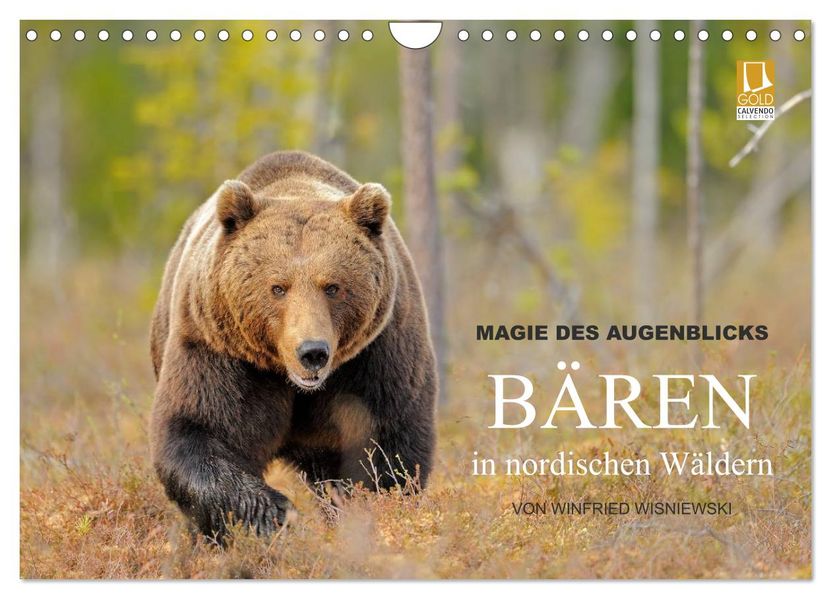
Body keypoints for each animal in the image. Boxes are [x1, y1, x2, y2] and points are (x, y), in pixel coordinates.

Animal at [149, 150, 437, 539]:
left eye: (332, 286)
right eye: (278, 287)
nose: (312, 352)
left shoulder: (376, 354)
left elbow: (386, 448)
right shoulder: (220, 349)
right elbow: (199, 428)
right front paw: (275, 513)